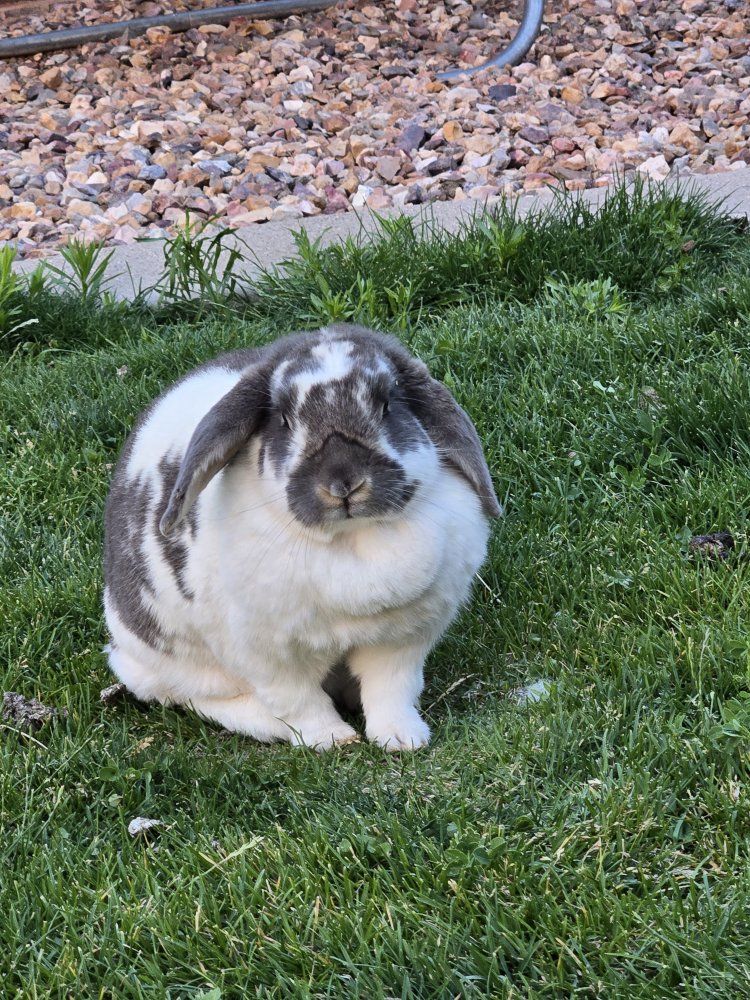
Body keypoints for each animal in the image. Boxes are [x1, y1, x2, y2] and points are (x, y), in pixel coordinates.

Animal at [103, 324, 501, 751]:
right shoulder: (271, 659)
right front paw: (334, 740)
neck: (351, 541)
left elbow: (391, 691)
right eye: (284, 419)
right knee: (202, 699)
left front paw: (402, 739)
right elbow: (300, 702)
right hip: (172, 667)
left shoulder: (400, 643)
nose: (343, 483)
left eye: (387, 405)